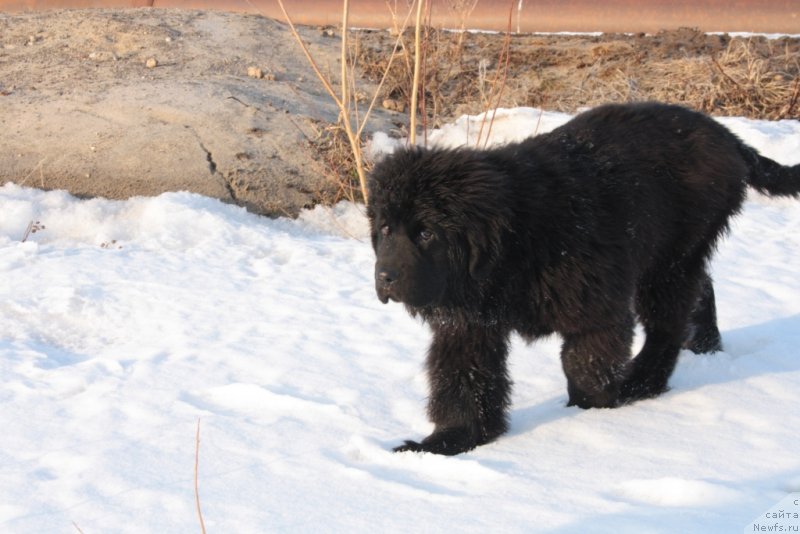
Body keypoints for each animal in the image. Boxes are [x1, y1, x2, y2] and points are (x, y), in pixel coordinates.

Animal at [368, 101, 800, 456]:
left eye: (426, 233)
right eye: (386, 229)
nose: (385, 277)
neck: (515, 240)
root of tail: (725, 134)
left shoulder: (597, 304)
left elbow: (584, 363)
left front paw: (593, 412)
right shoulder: (468, 324)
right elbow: (464, 379)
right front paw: (448, 442)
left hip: (669, 261)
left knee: (668, 322)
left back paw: (643, 383)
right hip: (676, 255)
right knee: (702, 289)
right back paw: (706, 345)